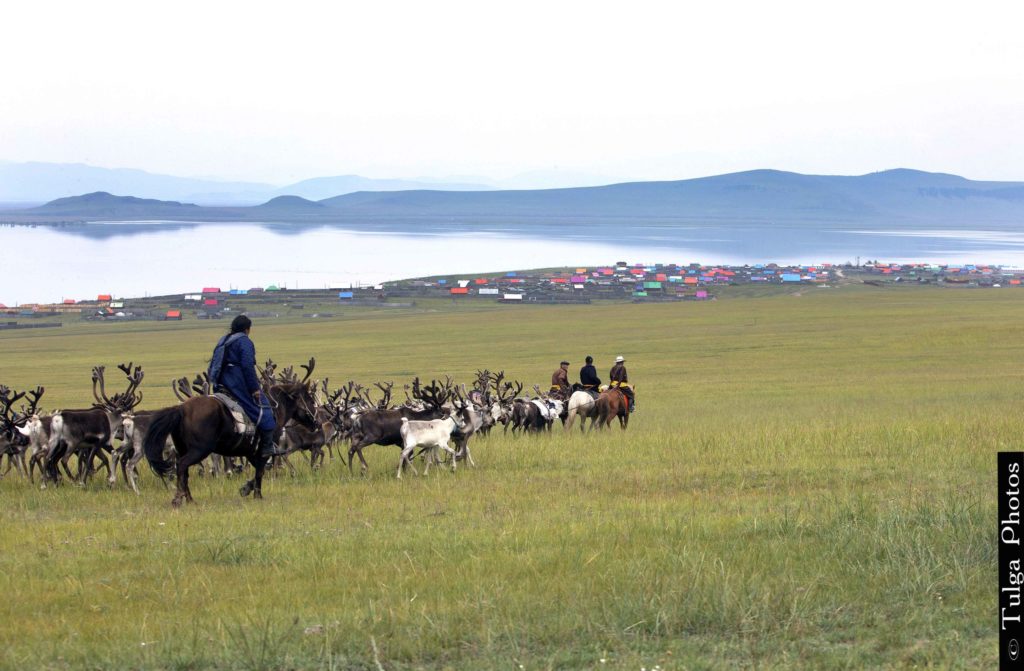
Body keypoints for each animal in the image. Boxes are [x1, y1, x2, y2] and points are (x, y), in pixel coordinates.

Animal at [141, 381, 315, 506]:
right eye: (310, 399)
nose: (316, 422)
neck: (275, 409)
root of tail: (181, 409)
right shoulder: (263, 451)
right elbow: (260, 471)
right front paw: (256, 494)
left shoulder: (250, 452)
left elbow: (259, 471)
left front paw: (246, 488)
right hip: (199, 450)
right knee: (182, 465)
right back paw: (180, 498)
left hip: (184, 449)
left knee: (184, 471)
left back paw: (189, 498)